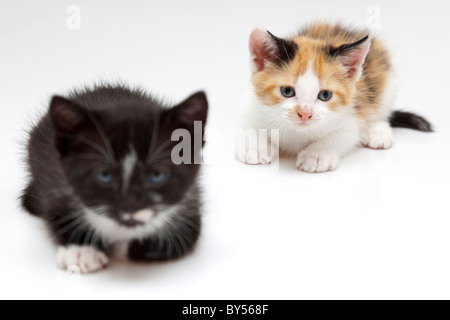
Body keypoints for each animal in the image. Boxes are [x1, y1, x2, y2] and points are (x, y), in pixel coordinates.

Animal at [18, 84, 206, 272]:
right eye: (104, 175)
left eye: (157, 175)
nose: (130, 205)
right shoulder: (55, 181)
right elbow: (57, 213)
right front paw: (82, 250)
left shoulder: (190, 203)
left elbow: (184, 237)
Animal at [239, 23, 432, 171]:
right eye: (287, 91)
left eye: (325, 95)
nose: (305, 114)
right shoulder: (252, 106)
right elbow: (248, 126)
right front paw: (256, 147)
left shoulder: (351, 118)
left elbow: (340, 136)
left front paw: (315, 155)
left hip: (386, 80)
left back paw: (378, 132)